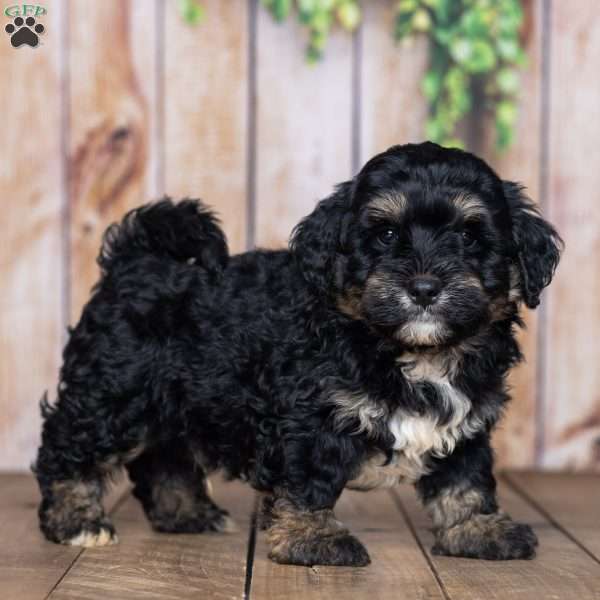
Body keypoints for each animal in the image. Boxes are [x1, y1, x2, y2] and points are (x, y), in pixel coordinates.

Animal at [35, 143, 564, 564]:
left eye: (470, 237)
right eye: (387, 235)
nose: (424, 288)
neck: (410, 348)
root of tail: (136, 259)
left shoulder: (468, 419)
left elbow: (465, 479)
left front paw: (478, 529)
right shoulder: (307, 418)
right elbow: (306, 481)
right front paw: (313, 538)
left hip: (180, 400)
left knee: (164, 456)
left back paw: (187, 513)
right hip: (116, 389)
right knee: (69, 445)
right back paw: (75, 519)